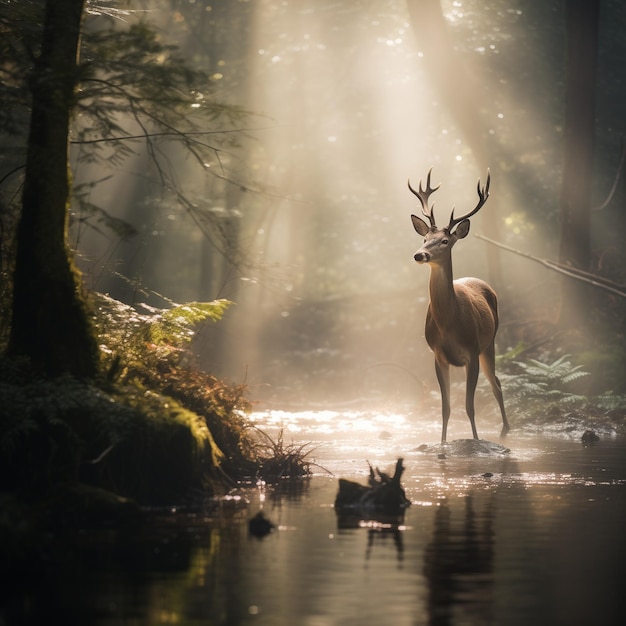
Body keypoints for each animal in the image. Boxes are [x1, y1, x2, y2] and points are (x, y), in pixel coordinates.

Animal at [410, 166, 508, 438]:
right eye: (424, 239)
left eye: (444, 241)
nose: (419, 254)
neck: (449, 325)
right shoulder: (437, 354)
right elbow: (446, 408)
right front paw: (443, 444)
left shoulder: (471, 351)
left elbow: (469, 407)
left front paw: (475, 440)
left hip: (490, 341)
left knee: (497, 383)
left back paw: (506, 430)